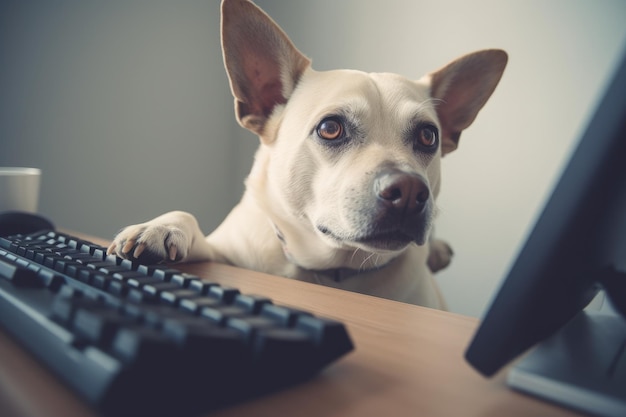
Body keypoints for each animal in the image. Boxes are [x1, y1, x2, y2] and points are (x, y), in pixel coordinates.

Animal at [107, 0, 508, 308]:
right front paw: (162, 227)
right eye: (331, 128)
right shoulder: (222, 252)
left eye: (428, 137)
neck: (331, 269)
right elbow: (187, 218)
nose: (409, 191)